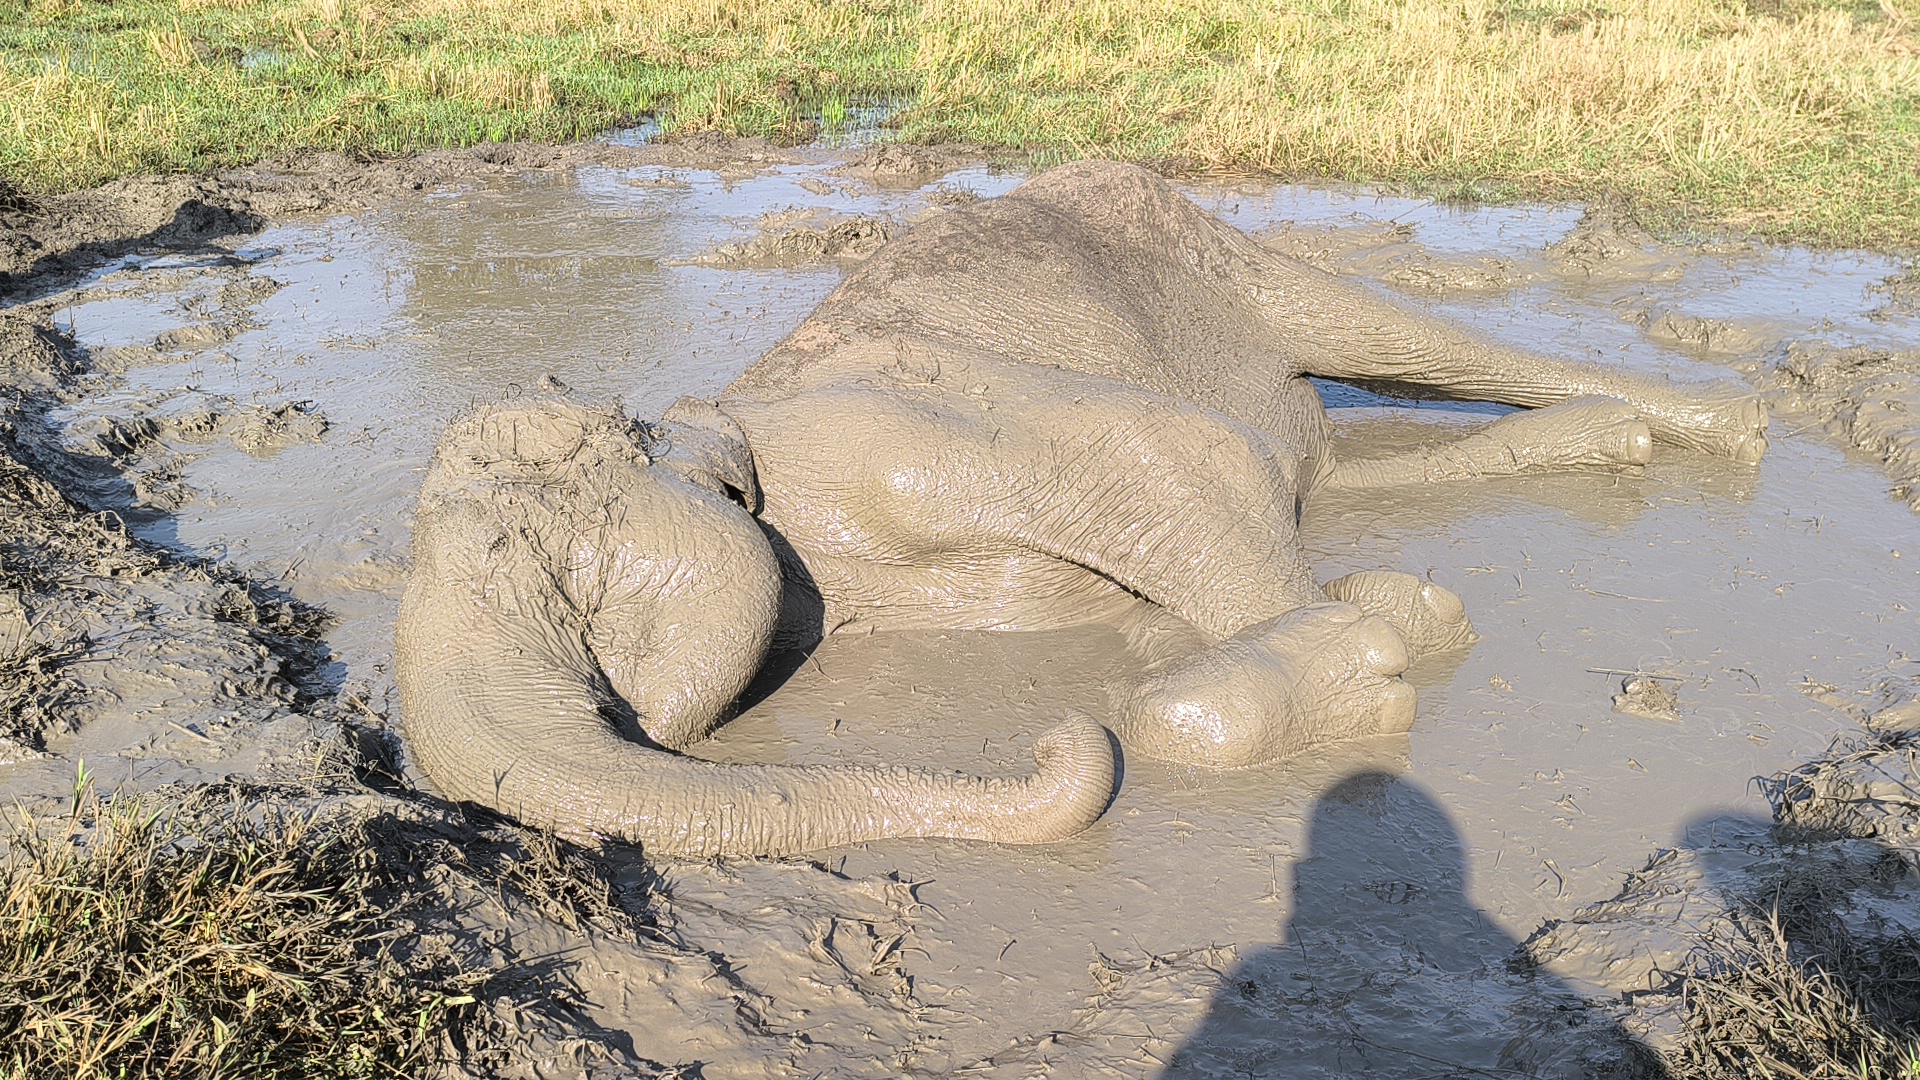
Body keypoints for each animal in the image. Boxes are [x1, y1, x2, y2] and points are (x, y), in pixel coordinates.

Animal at [393, 159, 1766, 853]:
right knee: (1323, 468)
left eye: (564, 586)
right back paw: (1606, 443)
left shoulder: (876, 451)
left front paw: (1381, 650)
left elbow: (1168, 455)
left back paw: (1732, 420)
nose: (1054, 742)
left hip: (1190, 238)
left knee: (1366, 338)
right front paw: (1399, 613)